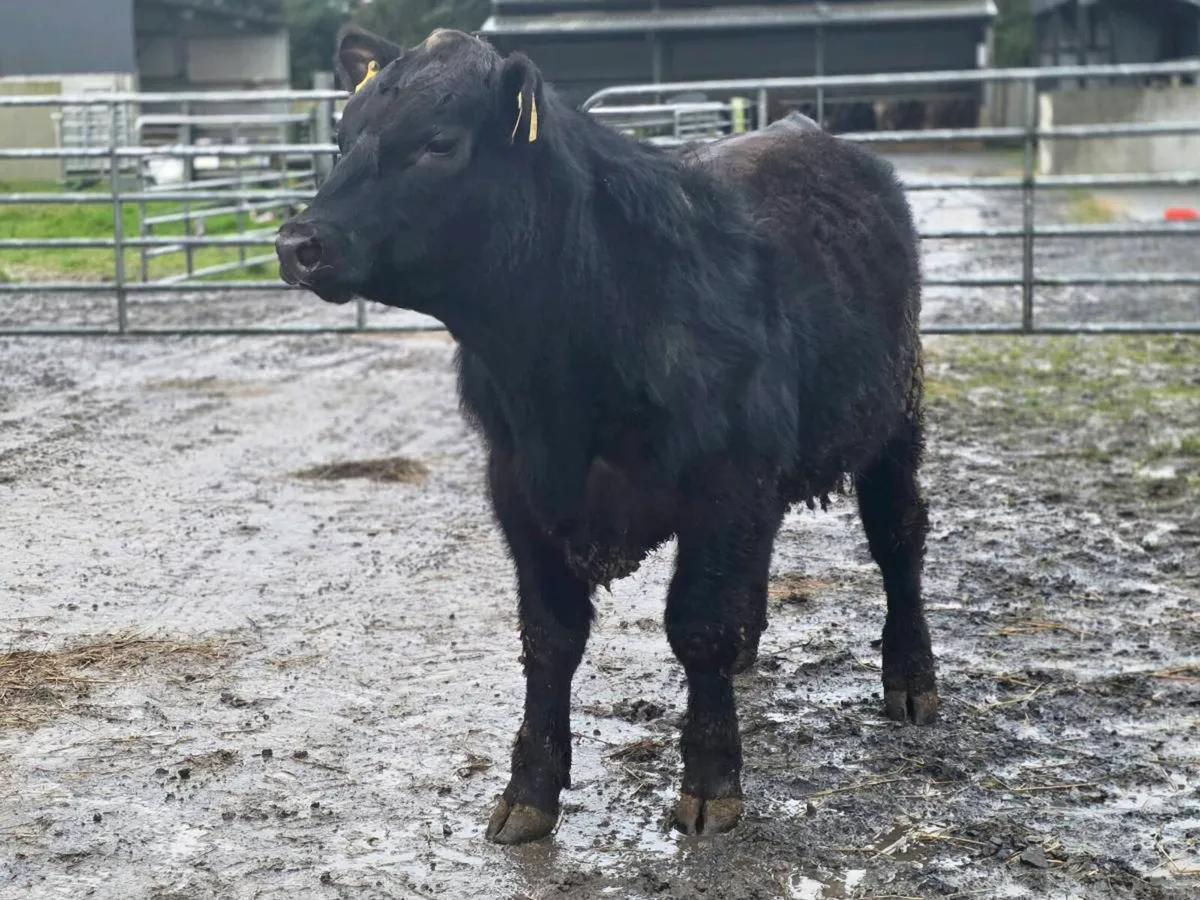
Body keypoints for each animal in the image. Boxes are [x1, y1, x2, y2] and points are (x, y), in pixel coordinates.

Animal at [276, 24, 938, 845]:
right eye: (342, 137)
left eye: (438, 143)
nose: (298, 244)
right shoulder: (518, 486)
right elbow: (550, 638)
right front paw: (529, 788)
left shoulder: (726, 482)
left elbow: (698, 626)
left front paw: (711, 782)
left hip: (894, 417)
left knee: (898, 537)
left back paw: (910, 679)